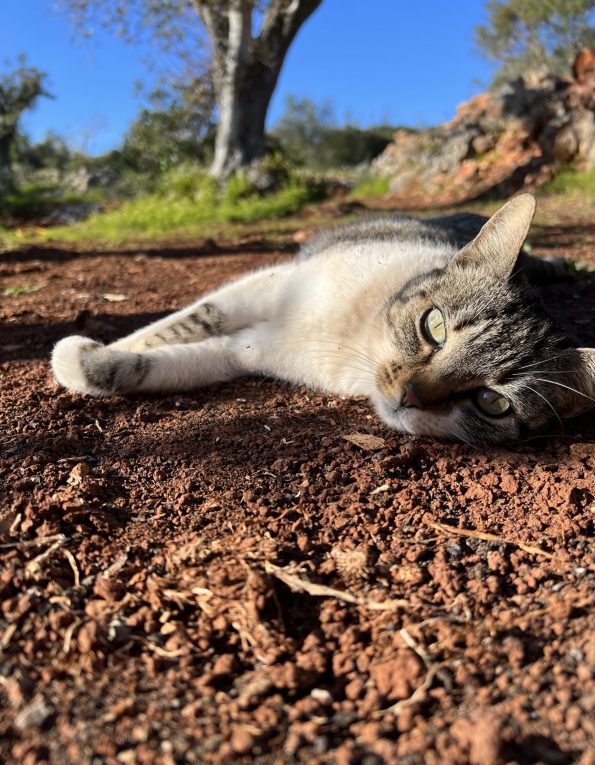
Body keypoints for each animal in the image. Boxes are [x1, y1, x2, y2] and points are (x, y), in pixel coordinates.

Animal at [51, 194, 595, 445]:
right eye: (434, 327)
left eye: (492, 402)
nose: (409, 396)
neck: (354, 337)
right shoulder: (264, 287)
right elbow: (185, 321)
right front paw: (98, 347)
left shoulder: (245, 351)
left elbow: (172, 361)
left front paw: (88, 362)